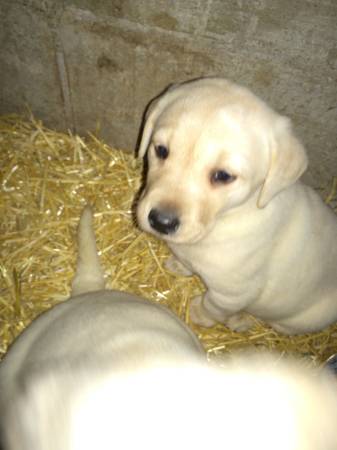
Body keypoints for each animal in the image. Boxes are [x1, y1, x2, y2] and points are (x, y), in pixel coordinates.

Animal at [136, 76, 336, 334]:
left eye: (223, 176)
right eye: (161, 150)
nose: (161, 222)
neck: (226, 219)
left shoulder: (232, 294)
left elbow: (212, 306)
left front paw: (199, 314)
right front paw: (180, 265)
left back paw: (241, 321)